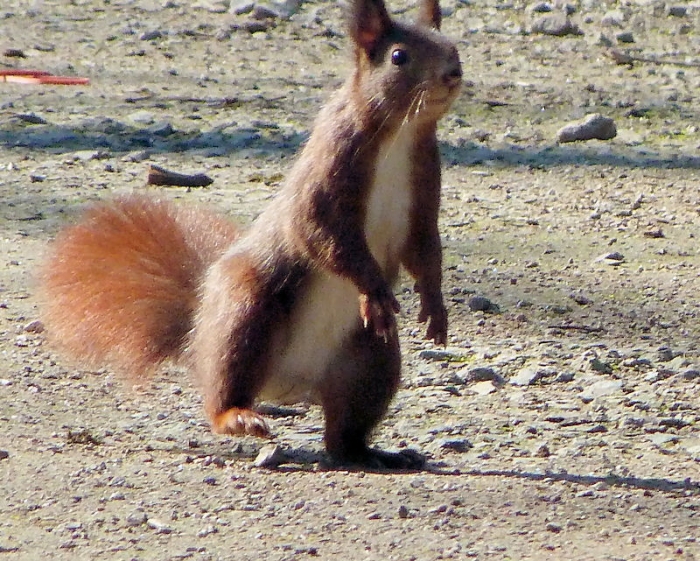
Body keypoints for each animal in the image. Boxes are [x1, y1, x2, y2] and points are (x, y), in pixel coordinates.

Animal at [38, 0, 462, 468]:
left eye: (454, 46)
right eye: (398, 57)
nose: (453, 74)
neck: (400, 133)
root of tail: (292, 381)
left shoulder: (424, 187)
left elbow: (424, 250)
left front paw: (435, 307)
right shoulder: (328, 171)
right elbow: (322, 233)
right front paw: (374, 289)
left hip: (370, 360)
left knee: (344, 431)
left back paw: (372, 454)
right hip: (248, 310)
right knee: (228, 382)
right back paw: (236, 415)